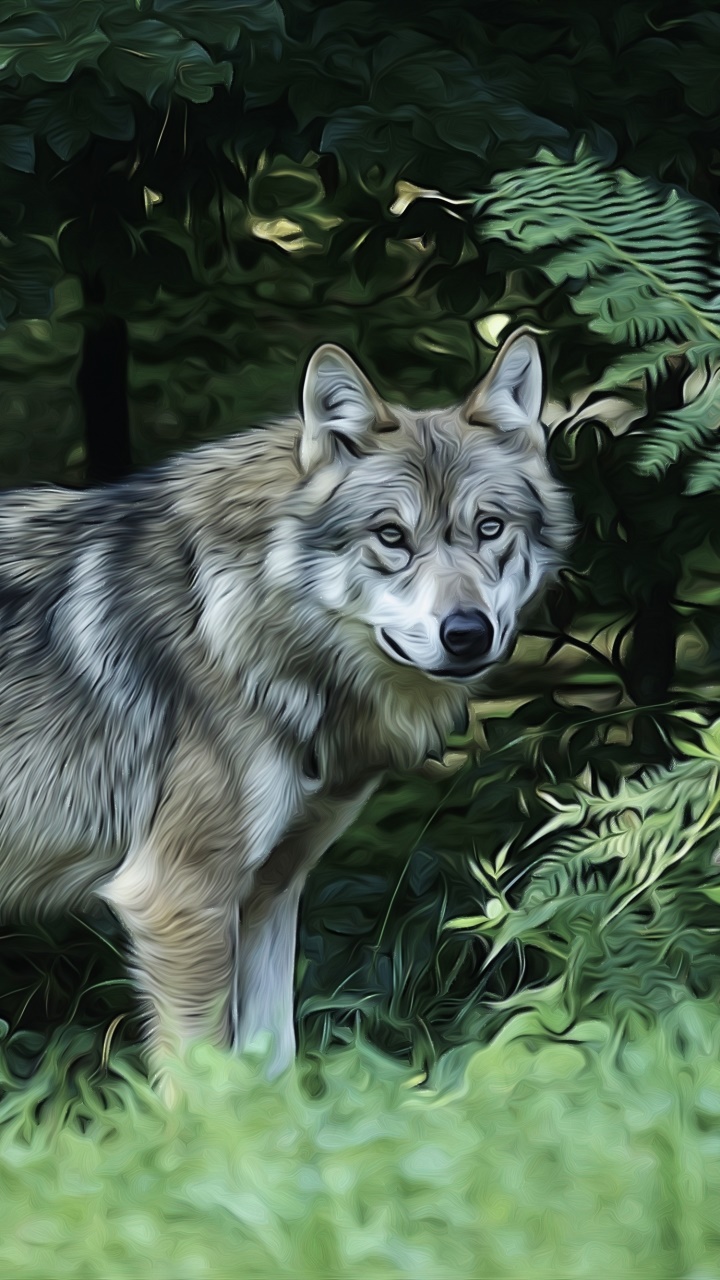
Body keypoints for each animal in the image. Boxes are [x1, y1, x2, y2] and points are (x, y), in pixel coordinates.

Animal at [0, 329, 574, 1089]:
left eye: (488, 527)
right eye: (391, 536)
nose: (466, 633)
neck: (232, 616)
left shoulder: (272, 891)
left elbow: (271, 1072)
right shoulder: (177, 897)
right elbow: (206, 1087)